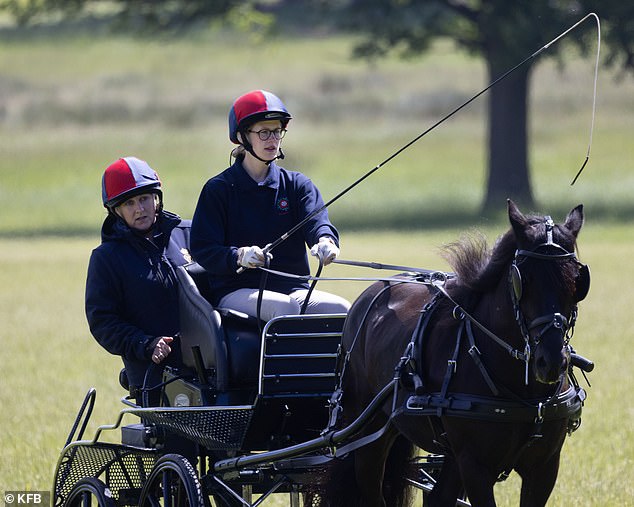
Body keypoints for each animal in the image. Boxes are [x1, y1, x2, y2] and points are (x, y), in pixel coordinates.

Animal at [320, 202, 588, 507]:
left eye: (577, 280)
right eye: (523, 280)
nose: (551, 362)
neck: (525, 392)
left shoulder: (544, 466)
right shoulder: (475, 466)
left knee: (439, 497)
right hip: (368, 435)